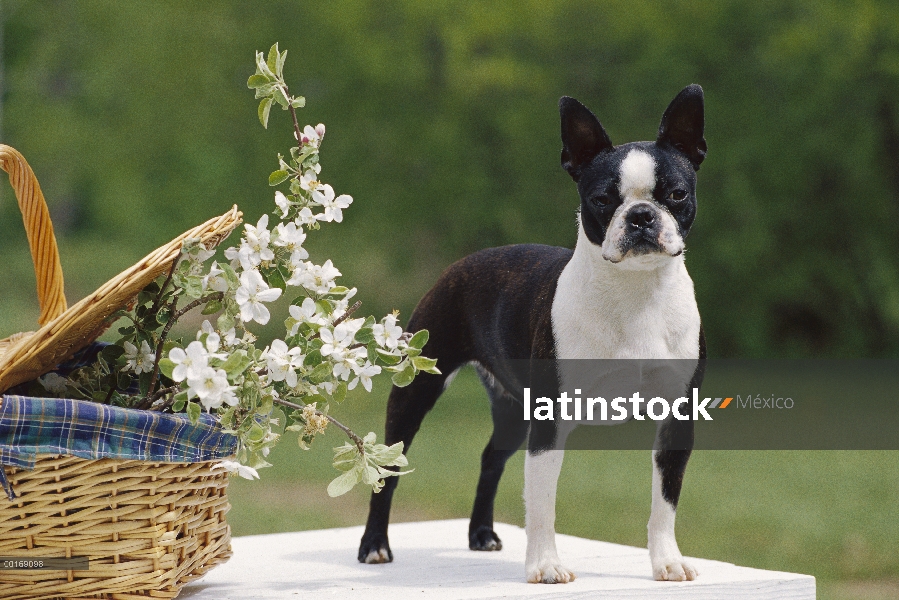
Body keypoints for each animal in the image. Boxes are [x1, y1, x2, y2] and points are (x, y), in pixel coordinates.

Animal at [360, 86, 712, 584]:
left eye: (677, 194)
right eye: (602, 199)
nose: (642, 215)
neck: (637, 293)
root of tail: (462, 262)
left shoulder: (677, 418)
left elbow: (665, 499)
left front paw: (667, 561)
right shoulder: (551, 420)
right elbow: (543, 502)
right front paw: (546, 565)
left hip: (512, 409)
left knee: (490, 458)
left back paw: (481, 535)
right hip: (418, 391)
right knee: (387, 471)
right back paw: (375, 545)